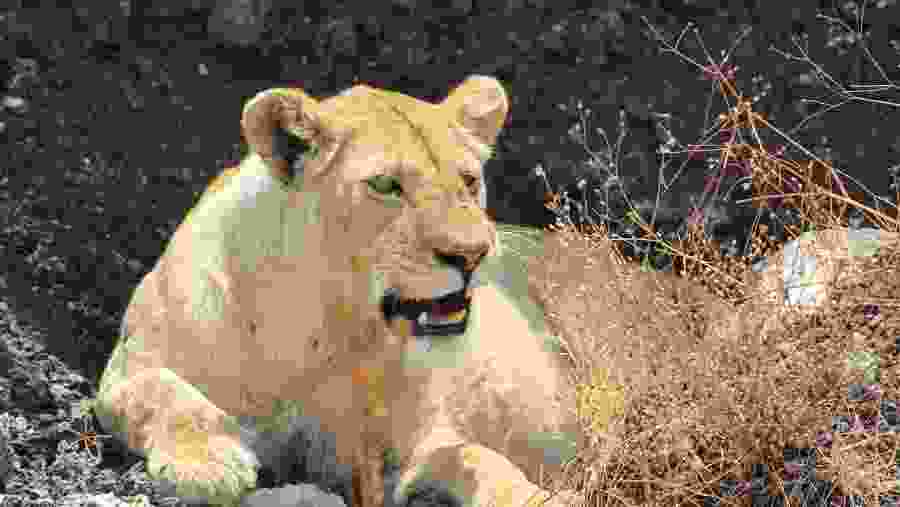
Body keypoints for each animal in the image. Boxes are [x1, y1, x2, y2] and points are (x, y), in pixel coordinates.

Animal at [93, 75, 583, 507]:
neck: (322, 332)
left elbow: (475, 458)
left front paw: (535, 497)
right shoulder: (128, 363)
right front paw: (209, 465)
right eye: (385, 185)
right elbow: (163, 395)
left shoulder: (406, 445)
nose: (473, 254)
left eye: (468, 180)